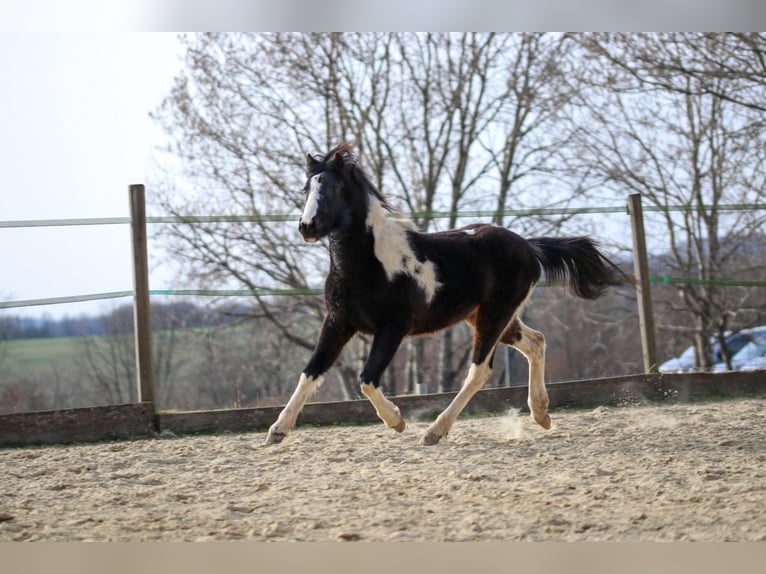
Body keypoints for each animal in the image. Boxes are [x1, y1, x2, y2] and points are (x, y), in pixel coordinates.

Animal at [265, 143, 628, 446]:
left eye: (335, 187)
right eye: (306, 188)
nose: (307, 226)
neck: (368, 264)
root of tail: (529, 247)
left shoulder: (393, 327)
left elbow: (366, 379)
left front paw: (396, 421)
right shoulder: (339, 322)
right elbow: (310, 372)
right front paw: (277, 430)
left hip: (494, 316)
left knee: (480, 370)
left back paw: (434, 431)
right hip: (490, 317)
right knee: (536, 342)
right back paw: (541, 414)